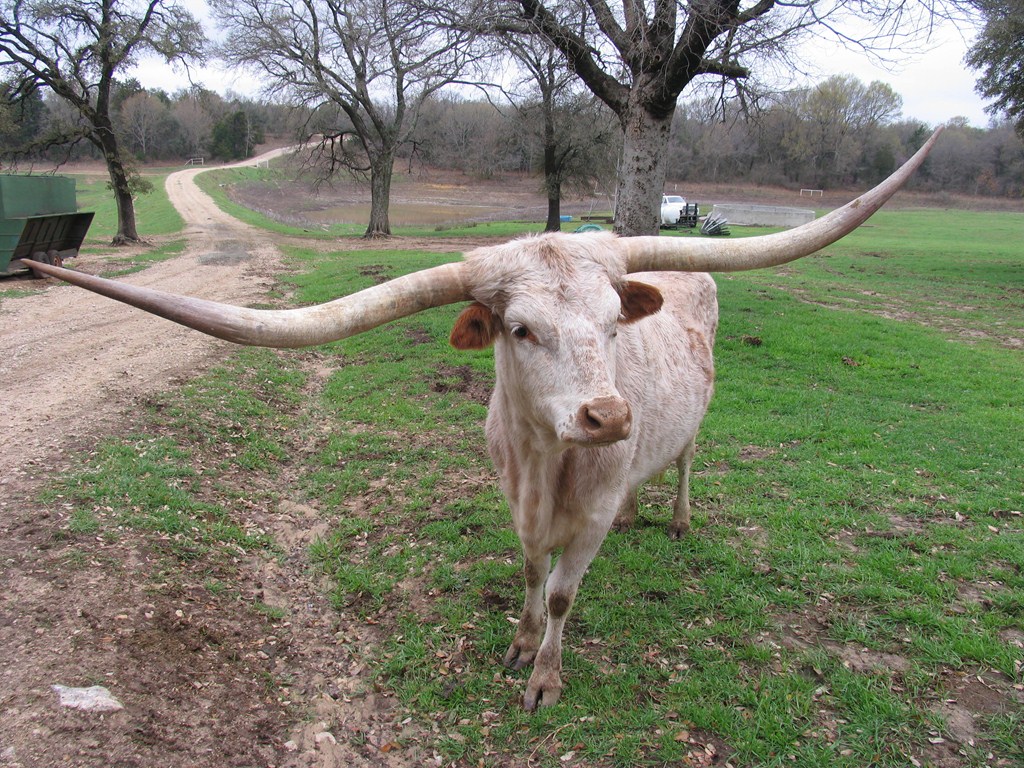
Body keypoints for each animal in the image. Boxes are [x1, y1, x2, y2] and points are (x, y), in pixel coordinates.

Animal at [26, 129, 941, 710]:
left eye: (613, 323)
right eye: (521, 329)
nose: (609, 415)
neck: (546, 468)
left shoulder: (585, 521)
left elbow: (566, 595)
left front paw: (545, 678)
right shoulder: (519, 510)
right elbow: (533, 576)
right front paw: (518, 644)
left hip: (697, 423)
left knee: (684, 460)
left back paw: (676, 516)